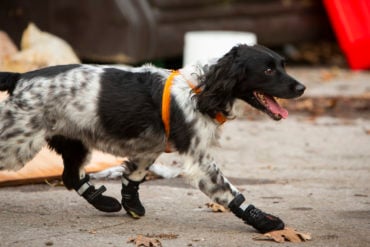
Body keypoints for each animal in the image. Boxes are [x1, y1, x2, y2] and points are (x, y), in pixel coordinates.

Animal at [0, 44, 304, 233]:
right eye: (267, 70)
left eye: (283, 65)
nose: (301, 87)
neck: (202, 90)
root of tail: (21, 77)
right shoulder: (199, 160)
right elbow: (229, 192)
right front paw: (263, 221)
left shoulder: (148, 148)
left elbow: (133, 176)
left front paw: (131, 205)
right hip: (18, 143)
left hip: (74, 142)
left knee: (71, 176)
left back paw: (104, 202)